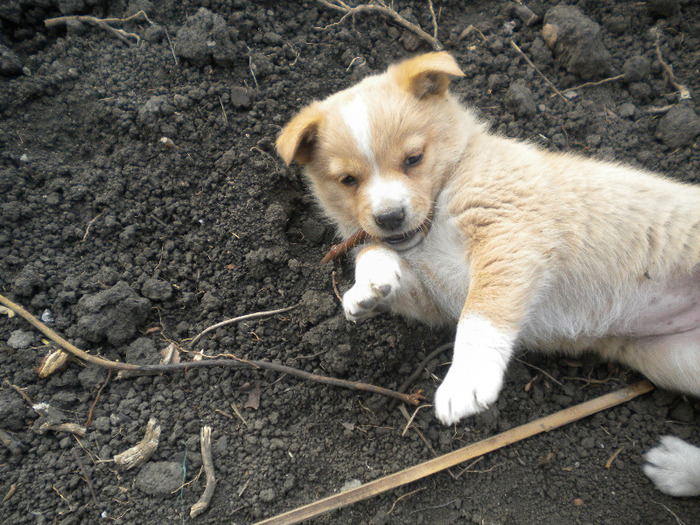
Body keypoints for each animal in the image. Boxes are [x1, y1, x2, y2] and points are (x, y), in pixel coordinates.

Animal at [278, 50, 700, 496]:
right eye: (348, 180)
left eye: (413, 158)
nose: (390, 217)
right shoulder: (433, 295)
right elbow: (375, 256)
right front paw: (368, 288)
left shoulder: (509, 233)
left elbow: (480, 317)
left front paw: (465, 380)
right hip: (677, 360)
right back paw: (677, 467)